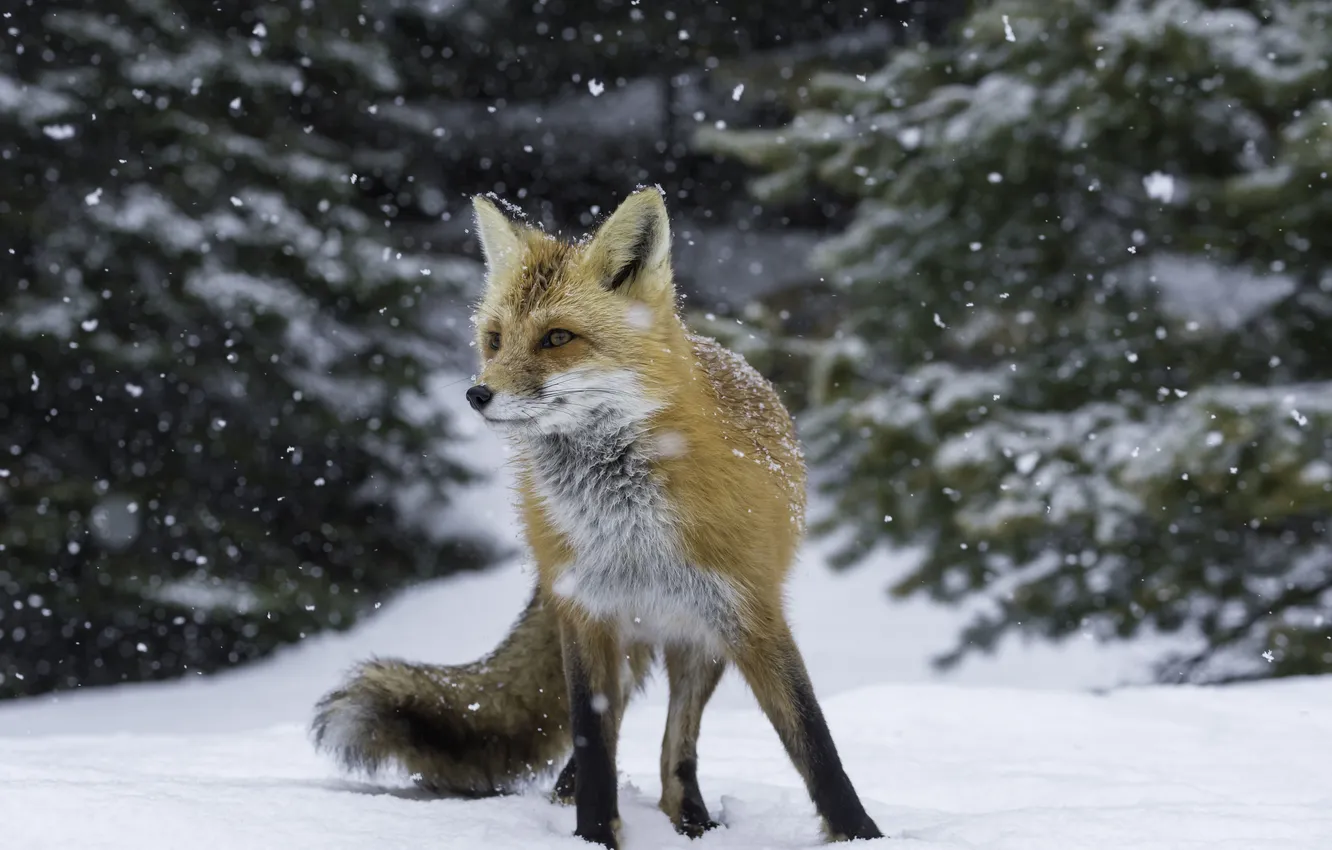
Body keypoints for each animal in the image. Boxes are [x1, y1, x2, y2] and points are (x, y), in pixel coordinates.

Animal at [311, 187, 883, 848]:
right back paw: (574, 798)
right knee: (612, 737)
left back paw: (692, 821)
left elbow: (813, 739)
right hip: (617, 635)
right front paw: (594, 834)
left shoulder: (750, 612)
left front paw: (862, 833)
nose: (476, 395)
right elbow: (591, 736)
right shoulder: (585, 613)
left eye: (557, 338)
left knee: (676, 749)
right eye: (495, 339)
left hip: (697, 642)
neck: (627, 529)